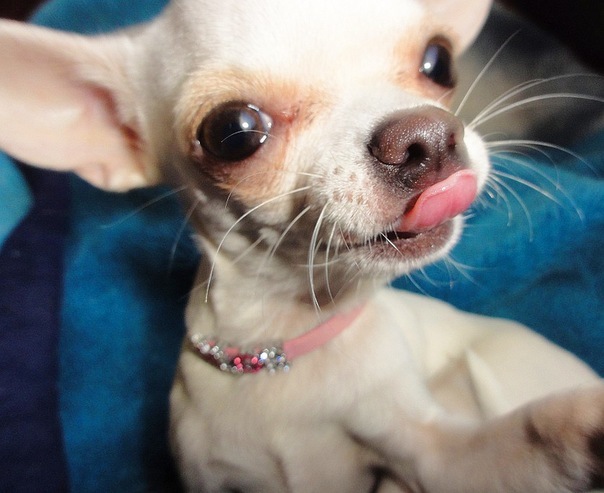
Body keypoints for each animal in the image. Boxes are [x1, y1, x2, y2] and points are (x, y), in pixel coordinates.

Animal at [1, 0, 603, 491]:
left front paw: (588, 421)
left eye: (440, 62)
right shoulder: (207, 478)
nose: (426, 138)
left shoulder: (438, 457)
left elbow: (530, 434)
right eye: (233, 132)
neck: (284, 346)